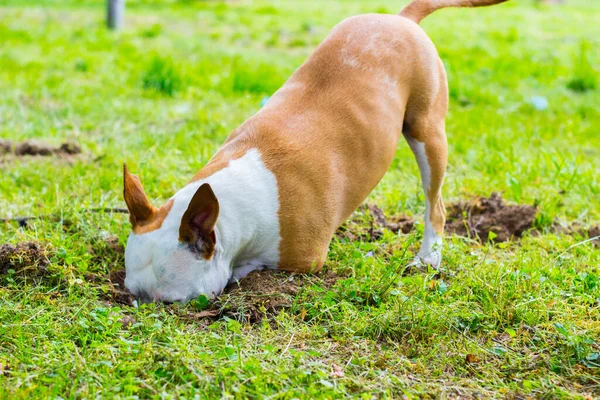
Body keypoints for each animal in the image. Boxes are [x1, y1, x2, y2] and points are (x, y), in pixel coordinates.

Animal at [124, 0, 508, 302]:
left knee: (435, 205)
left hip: (428, 133)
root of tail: (402, 19)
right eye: (131, 294)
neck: (234, 200)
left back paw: (428, 258)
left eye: (171, 303)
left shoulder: (302, 259)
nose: (139, 306)